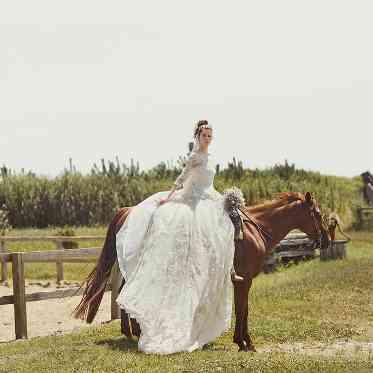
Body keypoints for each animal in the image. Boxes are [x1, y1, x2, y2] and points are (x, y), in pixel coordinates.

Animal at [72, 192, 328, 352]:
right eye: (316, 213)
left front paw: (242, 341)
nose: (325, 239)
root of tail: (127, 211)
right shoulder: (244, 280)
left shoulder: (243, 281)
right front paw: (245, 343)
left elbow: (244, 309)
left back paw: (132, 331)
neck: (255, 229)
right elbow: (243, 309)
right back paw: (134, 331)